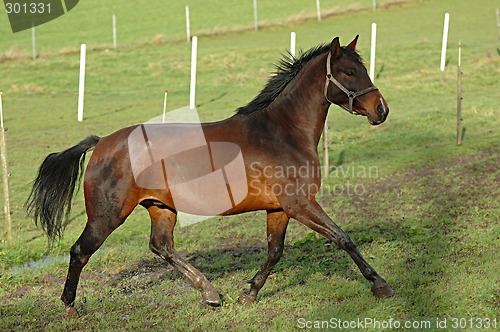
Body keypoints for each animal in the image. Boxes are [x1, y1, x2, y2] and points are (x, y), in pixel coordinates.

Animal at [25, 35, 394, 318]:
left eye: (364, 69)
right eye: (349, 72)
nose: (381, 110)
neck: (281, 132)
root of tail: (101, 143)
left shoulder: (279, 208)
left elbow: (275, 252)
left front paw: (248, 293)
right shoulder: (300, 203)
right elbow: (342, 238)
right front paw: (379, 284)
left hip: (161, 208)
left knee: (161, 246)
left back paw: (211, 293)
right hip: (106, 216)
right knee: (80, 251)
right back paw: (70, 307)